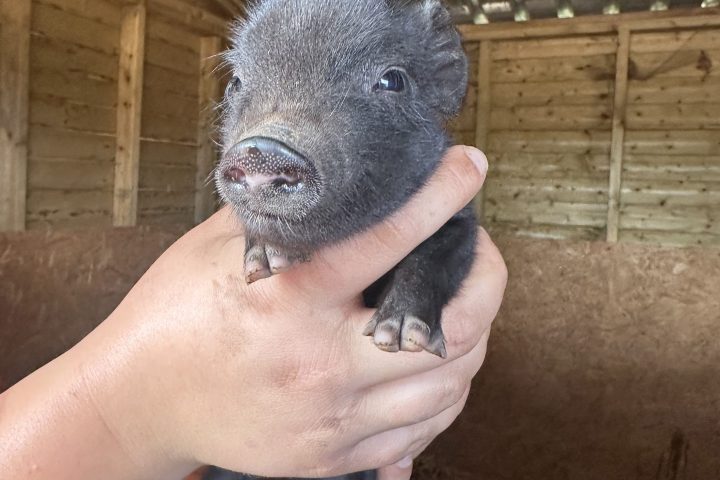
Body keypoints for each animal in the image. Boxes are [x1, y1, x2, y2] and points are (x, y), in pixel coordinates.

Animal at [209, 0, 476, 478]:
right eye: (236, 82)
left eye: (393, 80)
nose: (262, 149)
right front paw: (266, 261)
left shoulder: (463, 220)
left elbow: (438, 254)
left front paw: (399, 338)